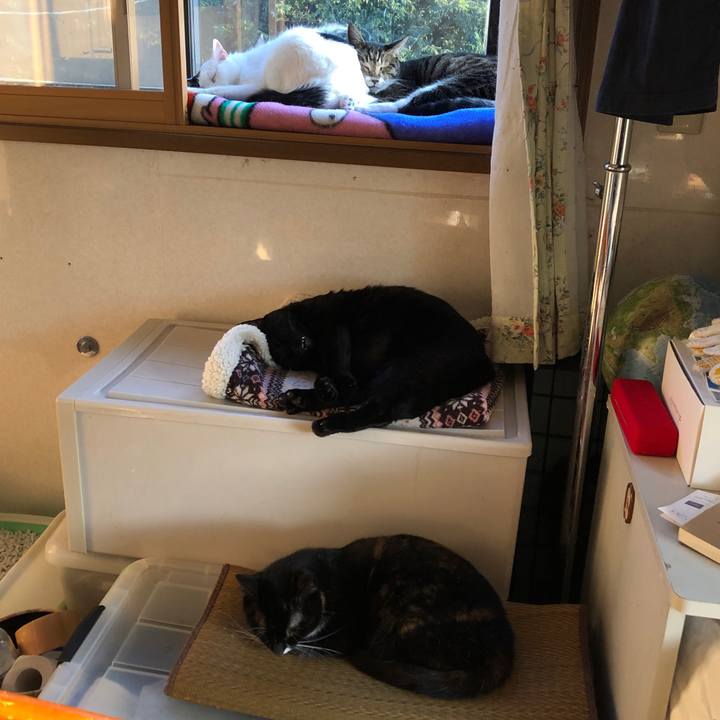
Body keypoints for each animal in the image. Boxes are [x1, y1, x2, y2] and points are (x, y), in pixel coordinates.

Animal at [236, 534, 514, 698]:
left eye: (294, 628)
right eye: (262, 624)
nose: (276, 649)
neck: (327, 583)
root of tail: (503, 645)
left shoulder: (340, 638)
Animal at [251, 286, 494, 437]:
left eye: (280, 337)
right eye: (283, 352)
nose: (296, 348)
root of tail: (483, 361)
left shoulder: (333, 328)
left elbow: (337, 364)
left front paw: (331, 384)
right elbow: (337, 376)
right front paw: (327, 386)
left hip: (407, 367)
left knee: (379, 408)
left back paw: (324, 421)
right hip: (397, 374)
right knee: (371, 401)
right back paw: (300, 399)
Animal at [344, 23, 497, 115]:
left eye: (384, 67)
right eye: (364, 65)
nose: (375, 80)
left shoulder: (401, 89)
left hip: (464, 81)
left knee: (405, 105)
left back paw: (362, 107)